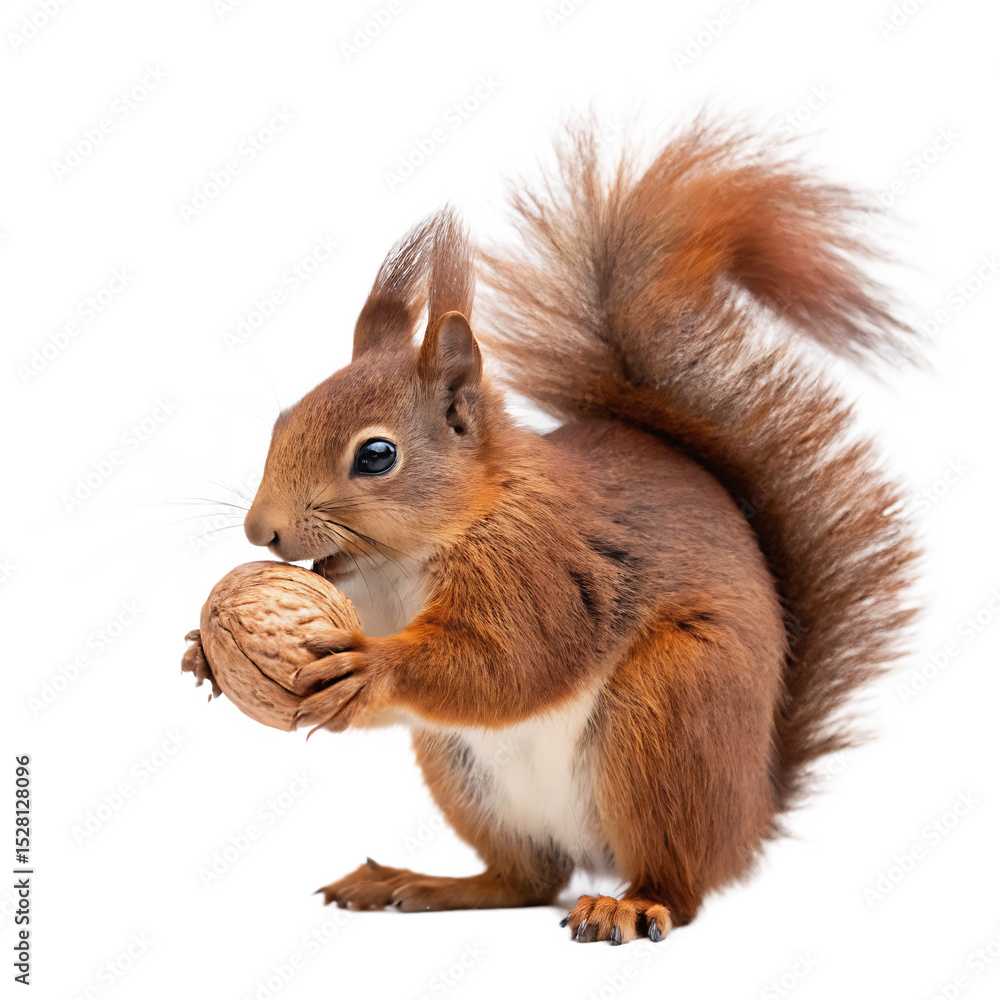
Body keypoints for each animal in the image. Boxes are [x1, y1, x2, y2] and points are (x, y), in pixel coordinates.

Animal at [203, 118, 919, 945]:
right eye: (283, 420)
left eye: (376, 455)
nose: (260, 531)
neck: (410, 560)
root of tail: (752, 813)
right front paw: (202, 652)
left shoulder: (542, 566)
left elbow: (510, 662)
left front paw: (373, 666)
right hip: (463, 773)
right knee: (527, 878)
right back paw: (424, 884)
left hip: (670, 716)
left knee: (678, 885)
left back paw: (631, 903)